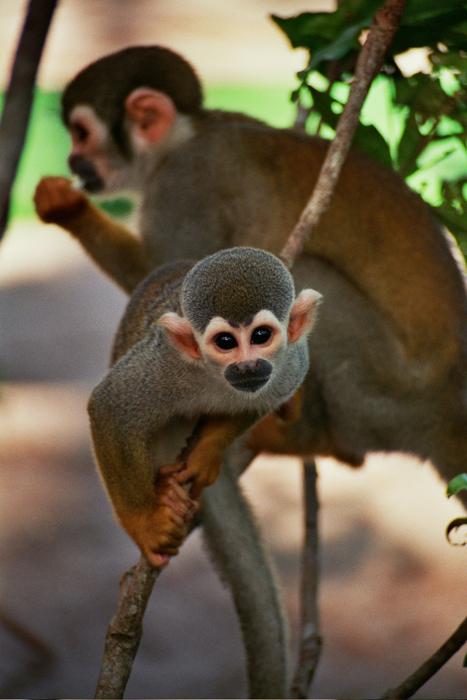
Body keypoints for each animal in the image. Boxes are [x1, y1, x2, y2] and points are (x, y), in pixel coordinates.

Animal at [88, 247, 320, 568]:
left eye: (261, 336)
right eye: (225, 342)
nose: (247, 366)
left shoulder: (293, 364)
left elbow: (262, 401)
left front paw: (207, 450)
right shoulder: (165, 363)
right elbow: (111, 407)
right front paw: (146, 525)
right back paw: (163, 488)